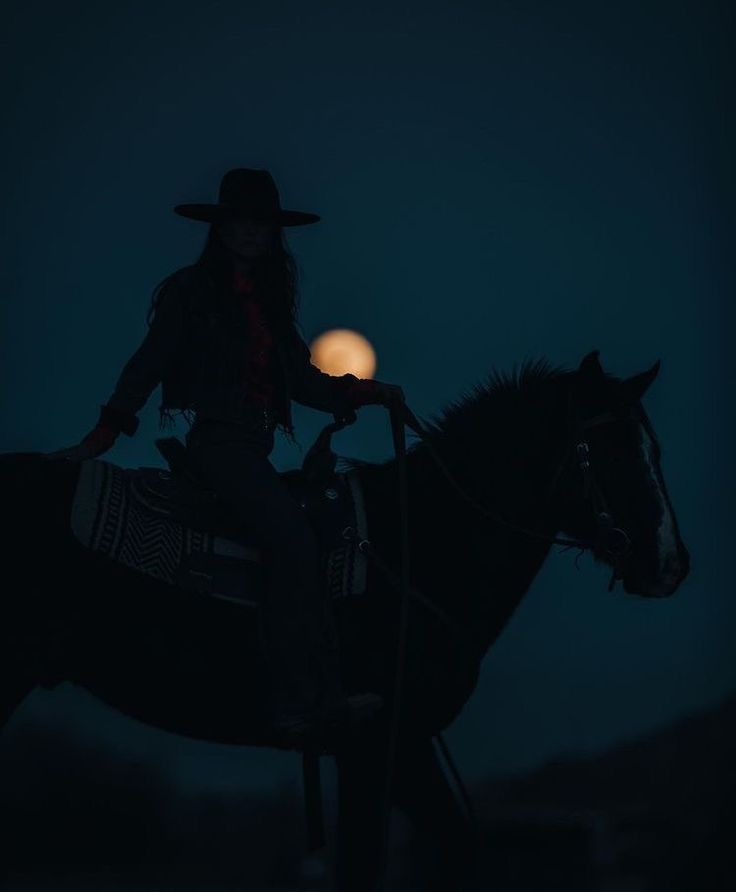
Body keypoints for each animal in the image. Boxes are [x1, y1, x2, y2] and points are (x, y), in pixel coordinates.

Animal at [0, 350, 688, 892]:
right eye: (612, 452)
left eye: (655, 448)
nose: (671, 564)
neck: (422, 544)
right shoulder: (381, 745)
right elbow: (381, 863)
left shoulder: (392, 749)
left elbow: (433, 850)